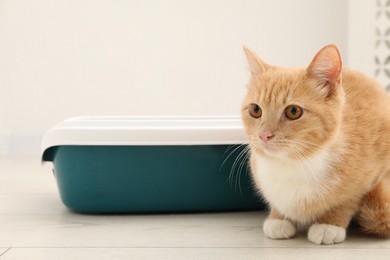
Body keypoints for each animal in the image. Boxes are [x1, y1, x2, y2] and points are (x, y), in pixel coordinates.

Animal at [241, 43, 390, 245]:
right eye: (255, 110)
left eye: (293, 111)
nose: (264, 135)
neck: (293, 163)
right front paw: (278, 218)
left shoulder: (371, 175)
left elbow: (347, 200)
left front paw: (329, 224)